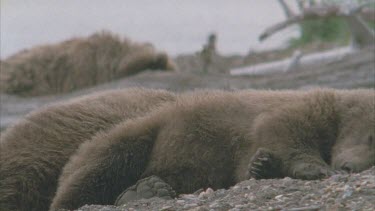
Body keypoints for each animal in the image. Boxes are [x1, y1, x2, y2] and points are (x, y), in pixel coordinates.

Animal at [0, 88, 375, 211]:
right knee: (101, 167)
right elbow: (282, 129)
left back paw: (147, 190)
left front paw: (264, 166)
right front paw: (312, 167)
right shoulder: (292, 110)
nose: (350, 168)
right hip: (131, 135)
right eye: (371, 139)